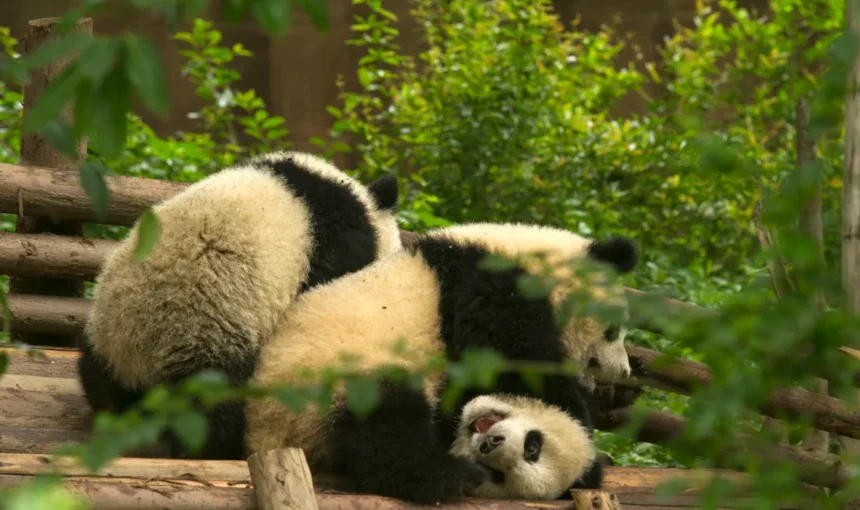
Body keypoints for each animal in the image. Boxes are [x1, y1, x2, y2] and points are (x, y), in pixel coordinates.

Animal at [77, 150, 403, 460]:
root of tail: (132, 360)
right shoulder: (338, 244)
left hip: (103, 335)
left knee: (97, 382)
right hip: (202, 331)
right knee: (213, 404)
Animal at [245, 221, 637, 504]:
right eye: (612, 330)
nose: (624, 371)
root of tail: (264, 436)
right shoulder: (490, 289)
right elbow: (513, 361)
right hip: (323, 381)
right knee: (387, 423)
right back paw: (446, 475)